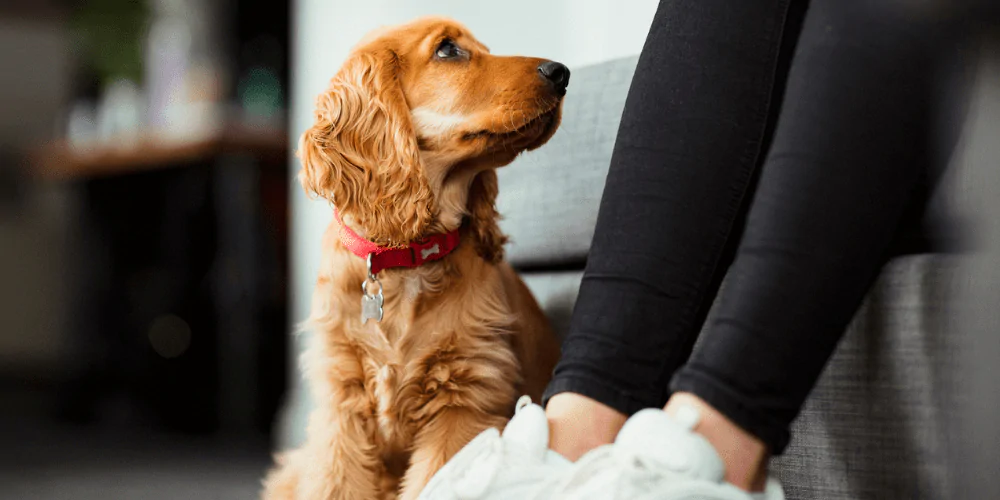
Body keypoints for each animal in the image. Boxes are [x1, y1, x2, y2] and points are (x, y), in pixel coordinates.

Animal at [262, 16, 568, 500]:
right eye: (447, 50)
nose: (561, 73)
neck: (404, 259)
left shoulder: (464, 402)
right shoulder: (341, 407)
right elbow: (334, 483)